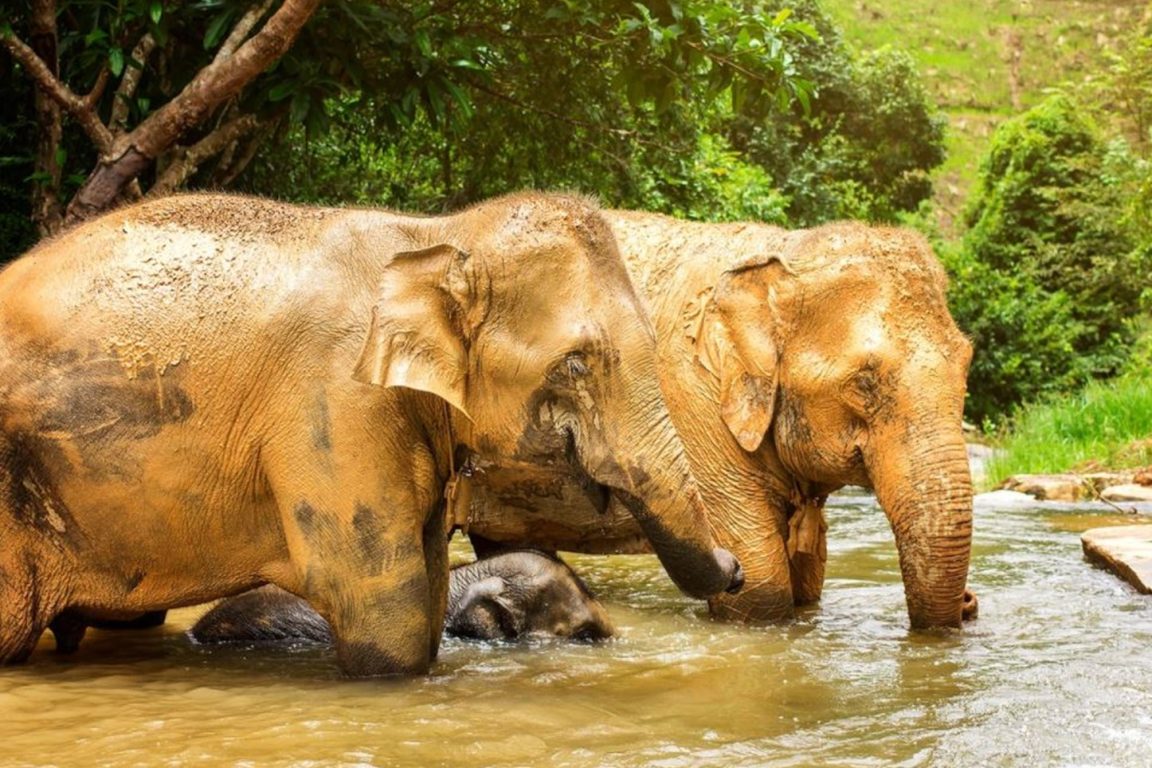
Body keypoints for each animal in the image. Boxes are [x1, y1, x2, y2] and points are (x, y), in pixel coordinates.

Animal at [463, 211, 976, 630]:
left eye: (967, 363)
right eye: (865, 381)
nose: (971, 603)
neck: (784, 253)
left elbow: (808, 578)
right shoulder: (689, 404)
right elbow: (763, 587)